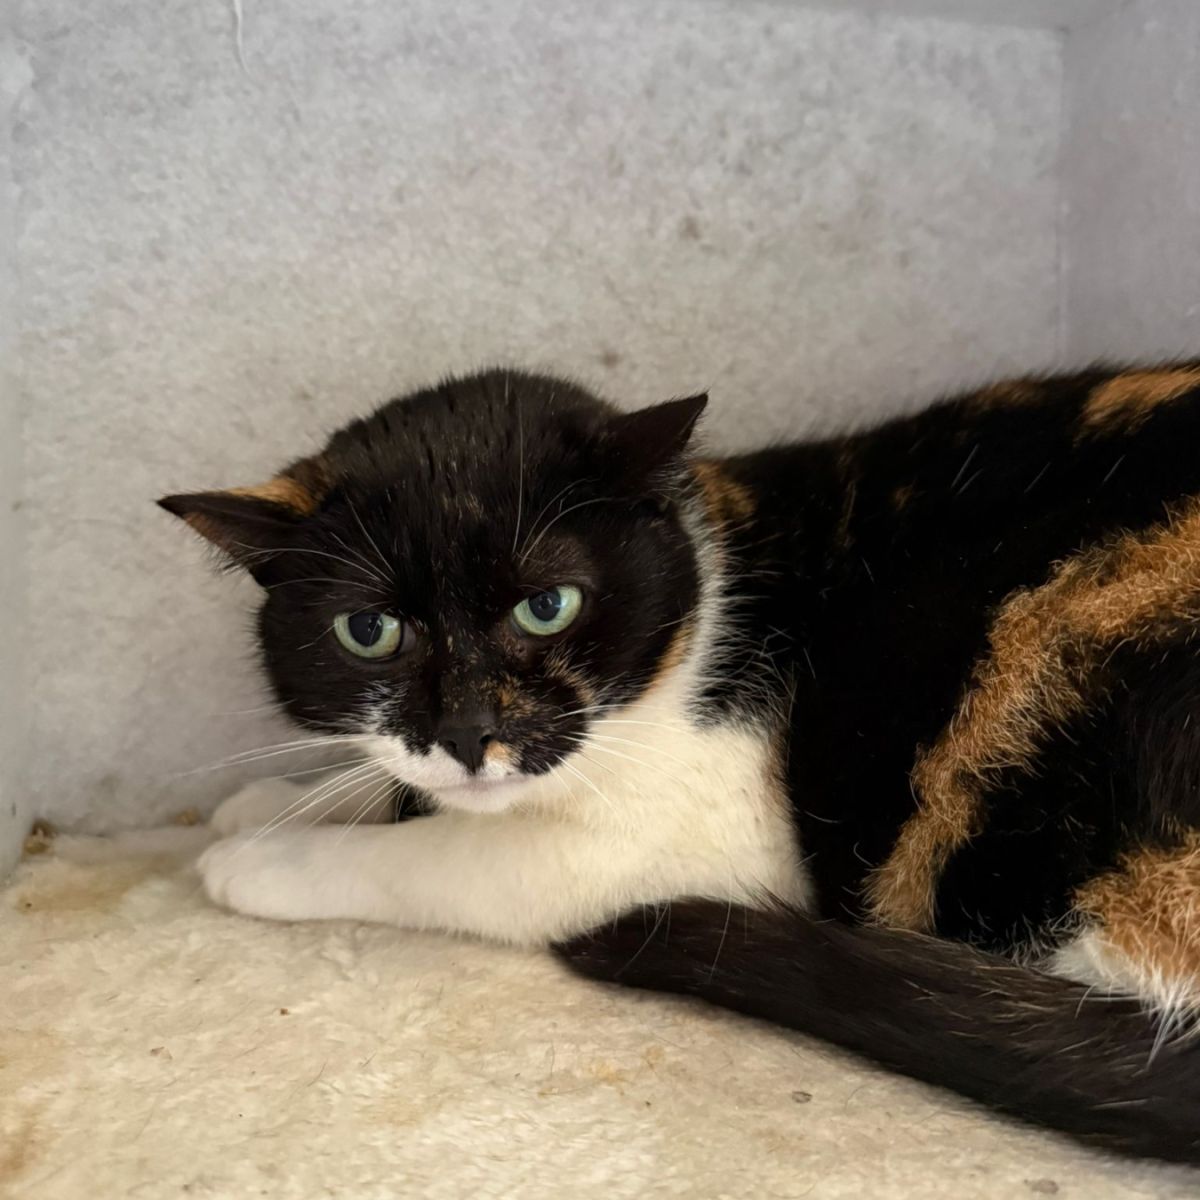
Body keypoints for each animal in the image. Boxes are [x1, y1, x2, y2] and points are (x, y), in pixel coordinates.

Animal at [161, 364, 1200, 1162]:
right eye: (368, 631)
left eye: (550, 606)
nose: (467, 732)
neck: (710, 604)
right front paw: (271, 801)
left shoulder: (693, 828)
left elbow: (441, 857)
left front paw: (259, 859)